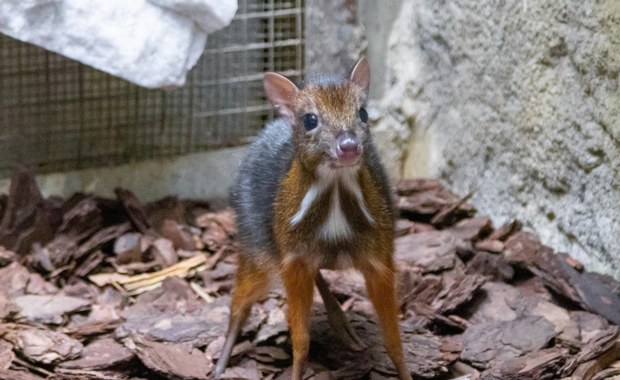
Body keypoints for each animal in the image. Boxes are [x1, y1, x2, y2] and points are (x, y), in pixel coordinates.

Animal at [213, 58, 412, 380]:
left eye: (363, 112)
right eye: (309, 120)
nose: (349, 145)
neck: (335, 201)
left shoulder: (380, 257)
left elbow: (394, 342)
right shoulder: (293, 259)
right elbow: (301, 342)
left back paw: (345, 330)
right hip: (255, 244)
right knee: (239, 304)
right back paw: (220, 364)